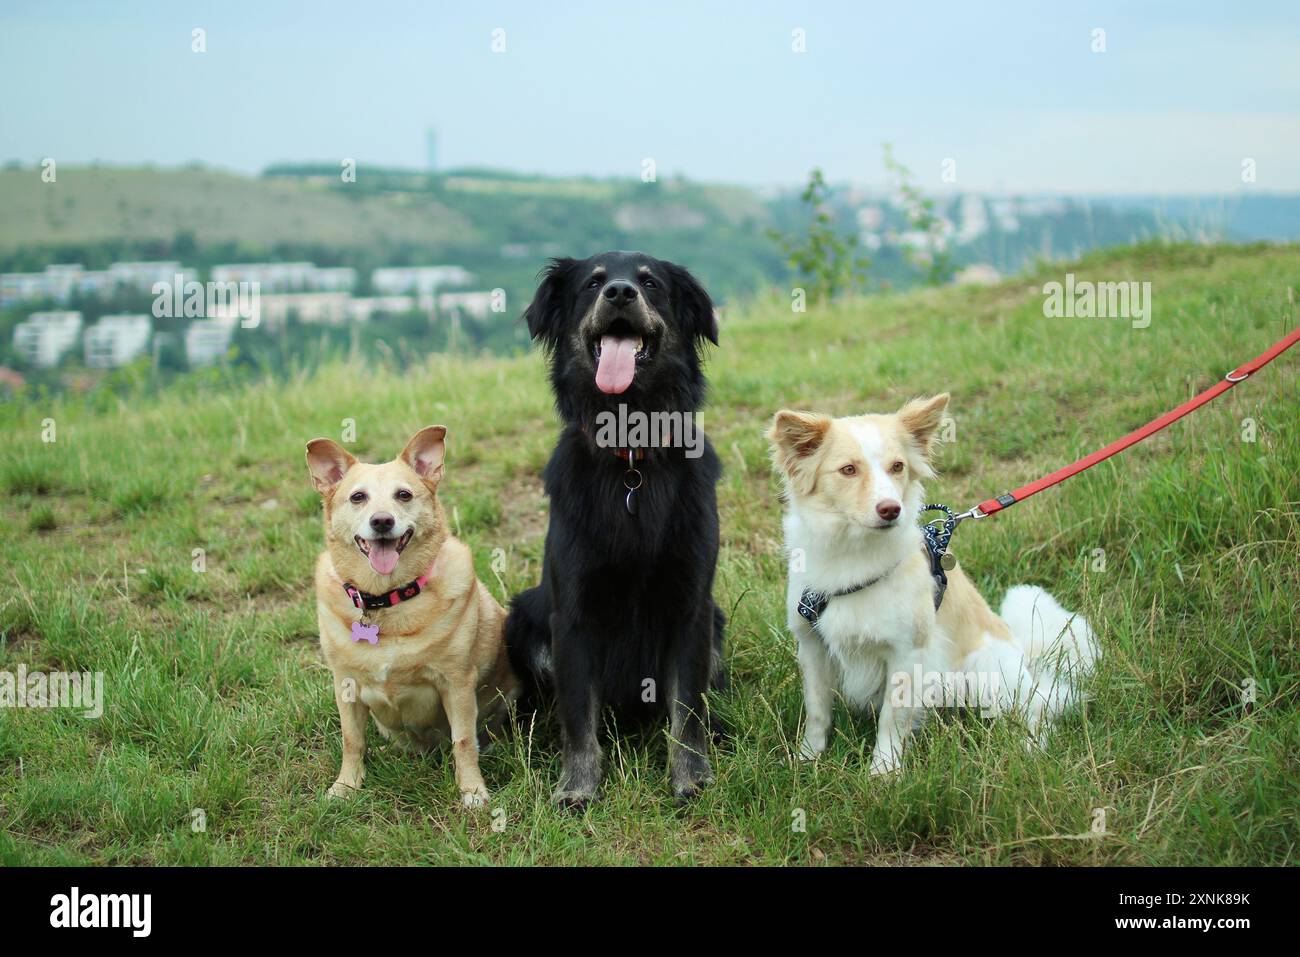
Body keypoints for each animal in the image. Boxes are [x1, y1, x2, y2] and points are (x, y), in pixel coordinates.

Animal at [306, 426, 520, 806]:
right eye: (357, 497)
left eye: (403, 494)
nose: (382, 521)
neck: (386, 600)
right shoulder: (345, 684)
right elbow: (352, 740)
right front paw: (346, 787)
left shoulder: (456, 684)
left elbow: (464, 742)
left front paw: (472, 791)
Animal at [504, 250, 728, 806]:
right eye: (593, 283)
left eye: (650, 283)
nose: (621, 293)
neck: (631, 459)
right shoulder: (572, 615)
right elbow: (578, 714)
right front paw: (578, 786)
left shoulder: (691, 607)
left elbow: (687, 709)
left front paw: (690, 776)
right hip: (522, 618)